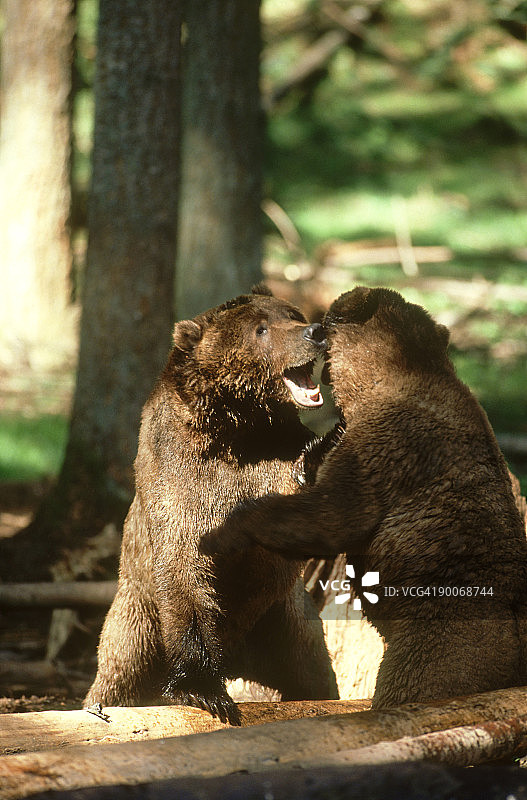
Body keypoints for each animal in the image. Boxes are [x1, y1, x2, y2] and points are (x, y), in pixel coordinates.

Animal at [84, 285, 338, 725]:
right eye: (261, 328)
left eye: (293, 314)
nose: (315, 331)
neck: (238, 428)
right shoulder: (181, 478)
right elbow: (184, 566)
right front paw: (204, 691)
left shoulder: (272, 460)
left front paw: (327, 442)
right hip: (137, 624)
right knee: (117, 677)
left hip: (287, 623)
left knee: (314, 678)